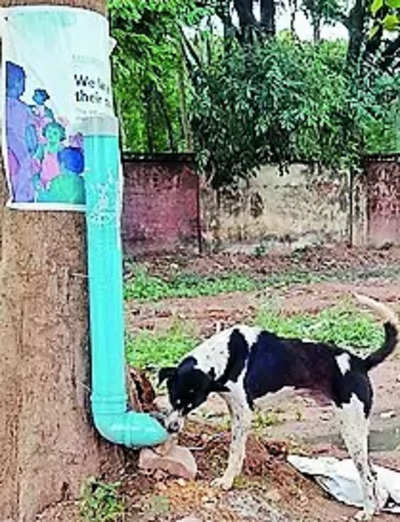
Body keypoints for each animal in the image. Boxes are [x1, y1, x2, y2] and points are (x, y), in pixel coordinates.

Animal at [159, 294, 396, 516]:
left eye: (191, 405)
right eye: (172, 398)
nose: (171, 428)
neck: (226, 354)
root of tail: (360, 363)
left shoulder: (244, 412)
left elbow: (235, 450)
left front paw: (226, 482)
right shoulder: (234, 408)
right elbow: (238, 448)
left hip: (350, 428)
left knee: (366, 475)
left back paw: (367, 512)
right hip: (358, 430)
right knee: (372, 473)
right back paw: (374, 507)